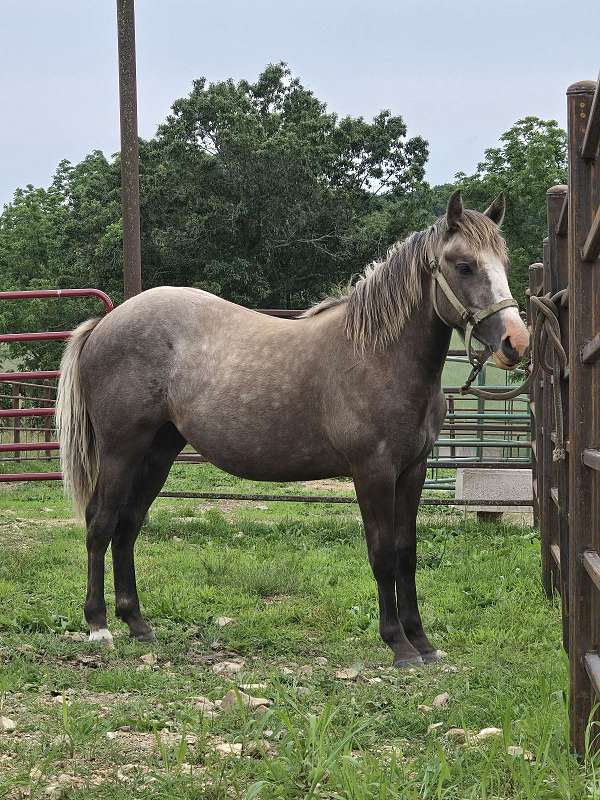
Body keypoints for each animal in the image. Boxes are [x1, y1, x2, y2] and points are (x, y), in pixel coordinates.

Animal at [55, 191, 524, 664]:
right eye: (464, 265)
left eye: (504, 262)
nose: (515, 342)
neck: (378, 356)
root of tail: (105, 324)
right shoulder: (372, 472)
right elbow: (382, 554)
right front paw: (397, 643)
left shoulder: (413, 470)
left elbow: (406, 553)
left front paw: (422, 643)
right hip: (121, 452)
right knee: (101, 523)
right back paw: (98, 625)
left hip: (157, 453)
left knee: (128, 527)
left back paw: (136, 622)